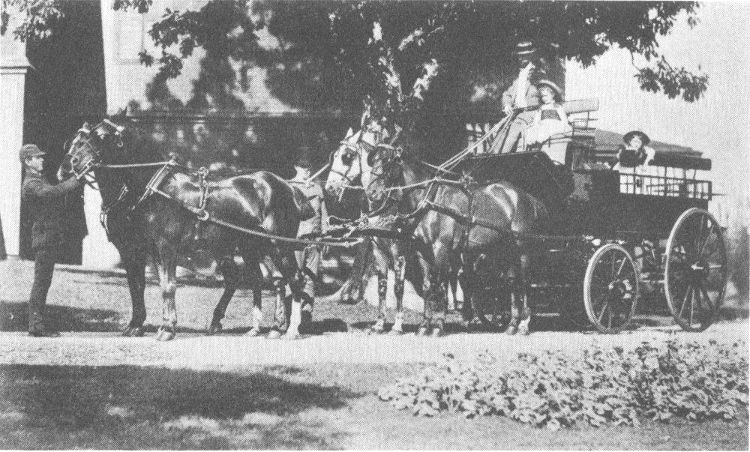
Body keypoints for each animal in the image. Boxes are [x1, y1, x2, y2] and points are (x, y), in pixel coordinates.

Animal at [58, 119, 312, 340]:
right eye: (72, 142)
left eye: (99, 138)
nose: (67, 166)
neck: (155, 189)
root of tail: (288, 187)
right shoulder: (144, 249)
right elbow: (141, 285)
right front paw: (137, 326)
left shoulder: (165, 247)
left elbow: (168, 285)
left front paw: (167, 329)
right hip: (253, 246)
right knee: (267, 280)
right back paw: (265, 328)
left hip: (279, 245)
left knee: (294, 278)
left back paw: (290, 330)